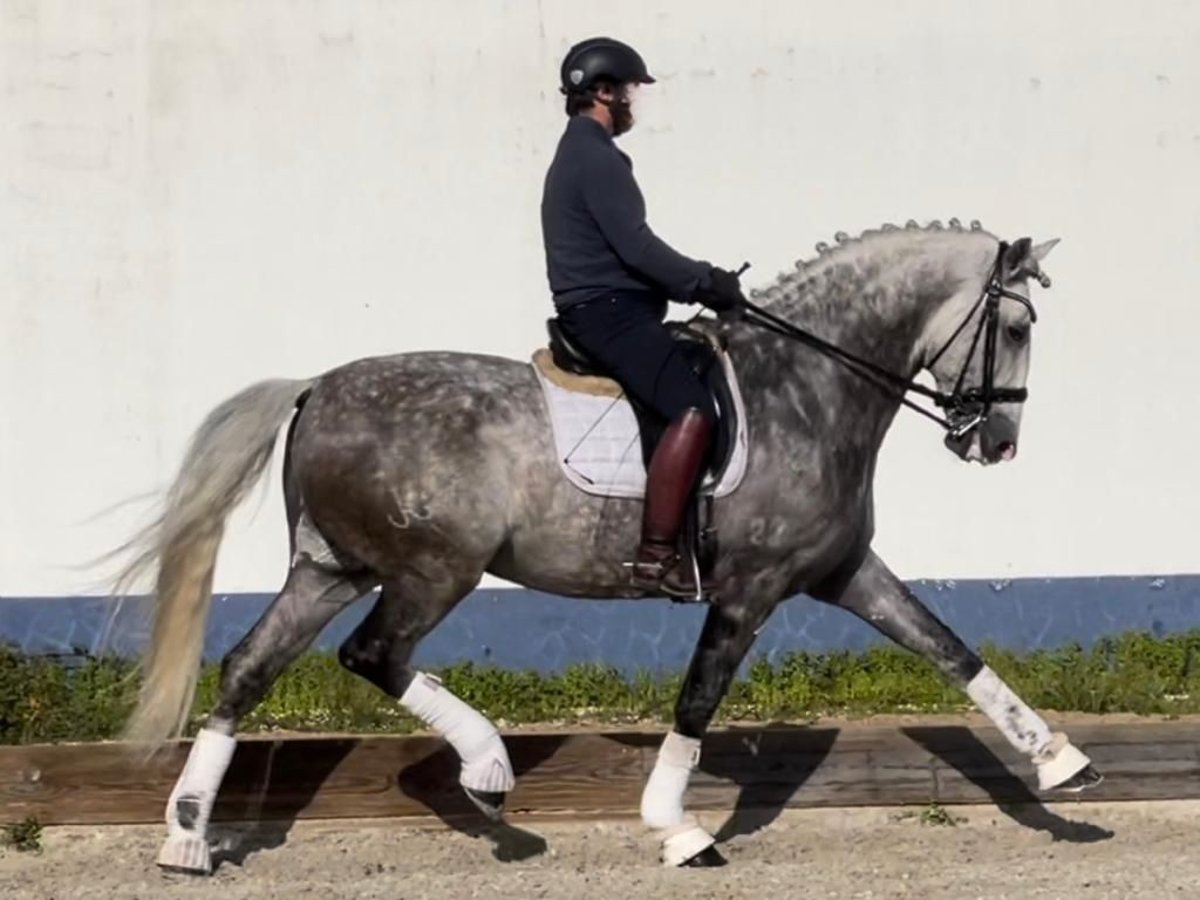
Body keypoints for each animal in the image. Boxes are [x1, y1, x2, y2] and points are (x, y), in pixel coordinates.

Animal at [105, 218, 1099, 873]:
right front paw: (677, 828)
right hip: (432, 568)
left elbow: (949, 648)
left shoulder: (844, 572)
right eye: (1017, 328)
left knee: (247, 666)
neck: (809, 383)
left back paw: (187, 835)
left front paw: (1064, 765)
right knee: (374, 654)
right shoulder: (750, 588)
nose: (995, 444)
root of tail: (315, 387)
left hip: (328, 568)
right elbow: (698, 700)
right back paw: (490, 771)